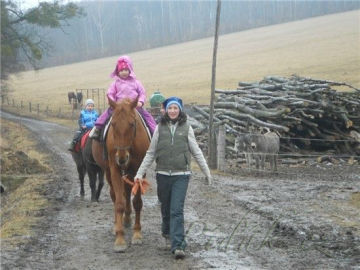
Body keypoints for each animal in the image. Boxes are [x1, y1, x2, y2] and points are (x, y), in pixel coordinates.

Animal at [93, 98, 150, 252]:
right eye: (113, 124)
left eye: (132, 124)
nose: (122, 158)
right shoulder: (115, 170)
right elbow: (119, 203)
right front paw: (119, 239)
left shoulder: (139, 170)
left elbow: (137, 202)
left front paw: (137, 234)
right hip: (108, 172)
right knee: (115, 195)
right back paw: (116, 225)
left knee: (128, 191)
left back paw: (127, 219)